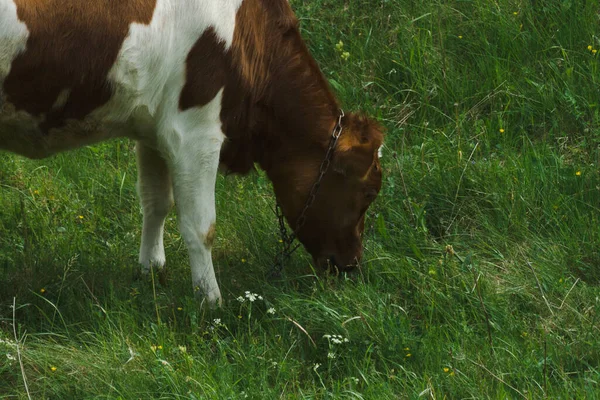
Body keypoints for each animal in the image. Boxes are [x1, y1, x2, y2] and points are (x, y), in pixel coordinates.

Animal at [0, 0, 384, 306]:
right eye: (368, 194)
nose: (351, 264)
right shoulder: (195, 132)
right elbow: (202, 227)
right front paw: (211, 303)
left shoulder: (152, 126)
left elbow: (156, 202)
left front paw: (151, 270)